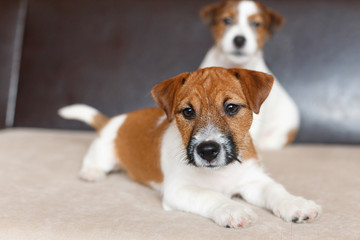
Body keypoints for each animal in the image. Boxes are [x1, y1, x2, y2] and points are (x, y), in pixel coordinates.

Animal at [59, 67, 320, 229]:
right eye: (188, 111)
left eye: (232, 108)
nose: (208, 150)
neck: (220, 172)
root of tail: (113, 120)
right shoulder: (179, 190)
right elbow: (211, 195)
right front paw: (234, 209)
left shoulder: (253, 181)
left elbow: (275, 190)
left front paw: (296, 204)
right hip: (103, 152)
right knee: (94, 159)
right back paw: (91, 173)